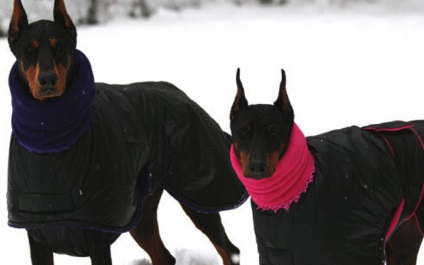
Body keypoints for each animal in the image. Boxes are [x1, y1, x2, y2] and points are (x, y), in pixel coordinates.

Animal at [5, 0, 245, 264]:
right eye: (29, 49)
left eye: (60, 48)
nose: (48, 79)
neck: (48, 136)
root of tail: (180, 92)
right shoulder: (37, 237)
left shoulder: (97, 235)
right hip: (140, 210)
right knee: (164, 256)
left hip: (200, 191)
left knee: (229, 249)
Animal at [230, 68, 424, 264]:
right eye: (243, 132)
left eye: (275, 132)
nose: (257, 166)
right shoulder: (275, 254)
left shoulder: (356, 250)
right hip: (403, 244)